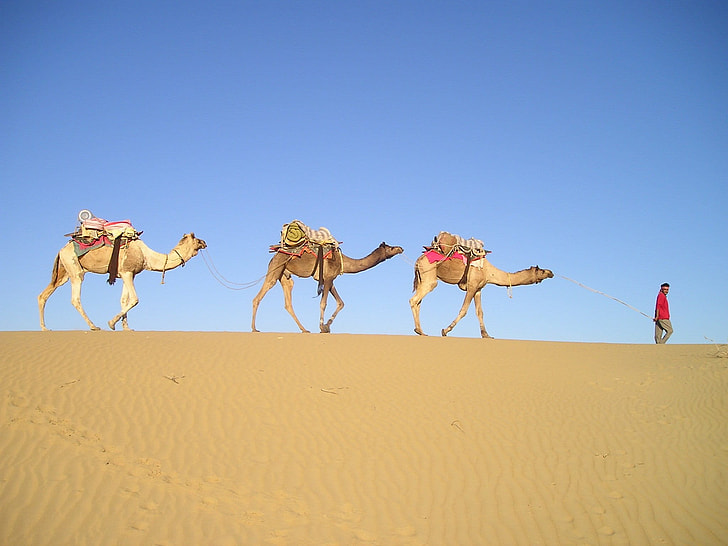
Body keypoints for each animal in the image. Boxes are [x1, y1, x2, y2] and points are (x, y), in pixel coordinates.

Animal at [38, 233, 207, 331]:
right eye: (196, 239)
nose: (205, 242)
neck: (146, 256)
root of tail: (61, 250)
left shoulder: (129, 274)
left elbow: (124, 300)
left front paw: (126, 328)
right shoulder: (126, 271)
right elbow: (135, 299)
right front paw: (111, 323)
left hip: (63, 272)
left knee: (43, 295)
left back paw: (44, 328)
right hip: (74, 267)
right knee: (75, 298)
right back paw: (93, 326)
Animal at [251, 242, 403, 333]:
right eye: (390, 247)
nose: (401, 248)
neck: (343, 262)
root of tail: (274, 256)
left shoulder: (329, 279)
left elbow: (341, 303)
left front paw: (327, 326)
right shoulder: (329, 277)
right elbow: (323, 303)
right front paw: (322, 327)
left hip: (285, 276)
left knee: (288, 302)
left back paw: (304, 329)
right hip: (276, 267)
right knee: (259, 295)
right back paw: (254, 329)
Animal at [409, 252, 553, 338]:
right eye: (542, 270)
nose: (551, 272)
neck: (489, 272)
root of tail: (419, 259)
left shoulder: (478, 289)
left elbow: (480, 312)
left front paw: (486, 335)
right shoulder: (472, 286)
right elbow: (464, 310)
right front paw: (445, 330)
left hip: (422, 278)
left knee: (418, 302)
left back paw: (420, 331)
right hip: (429, 277)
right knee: (414, 300)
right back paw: (420, 331)